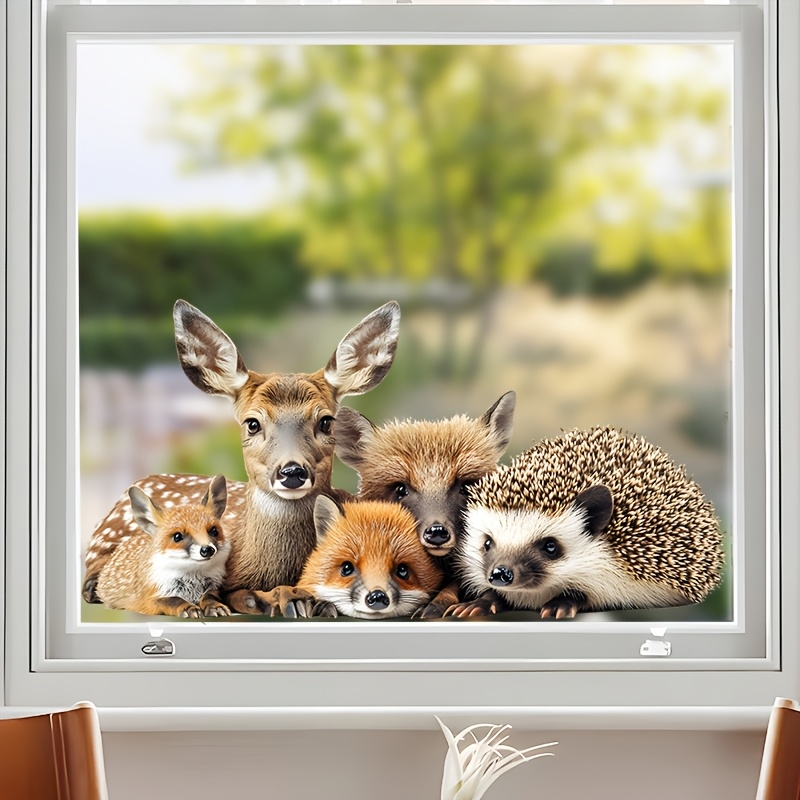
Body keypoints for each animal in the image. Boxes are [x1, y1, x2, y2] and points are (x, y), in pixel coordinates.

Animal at [95, 474, 231, 618]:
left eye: (214, 531)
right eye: (177, 536)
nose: (207, 550)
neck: (193, 580)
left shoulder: (215, 588)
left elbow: (209, 597)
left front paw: (214, 606)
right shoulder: (150, 599)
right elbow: (174, 600)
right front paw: (188, 607)